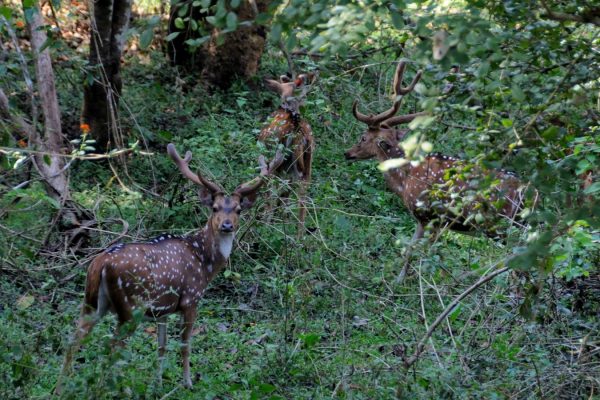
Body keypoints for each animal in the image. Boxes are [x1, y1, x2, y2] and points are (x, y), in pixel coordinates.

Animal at [57, 142, 282, 390]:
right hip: (130, 307)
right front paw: (188, 383)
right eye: (214, 208)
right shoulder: (191, 298)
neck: (204, 262)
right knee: (113, 348)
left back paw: (61, 386)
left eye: (238, 210)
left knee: (73, 340)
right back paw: (115, 388)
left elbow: (162, 347)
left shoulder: (162, 310)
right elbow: (185, 344)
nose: (226, 225)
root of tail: (100, 262)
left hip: (92, 302)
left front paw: (158, 384)